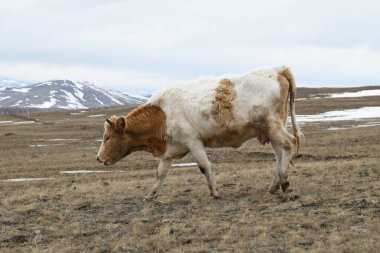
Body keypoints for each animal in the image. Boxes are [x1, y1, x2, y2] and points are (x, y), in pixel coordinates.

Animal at [97, 66, 302, 201]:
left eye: (107, 137)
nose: (98, 158)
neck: (162, 114)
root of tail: (278, 70)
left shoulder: (192, 141)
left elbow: (204, 166)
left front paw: (215, 193)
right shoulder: (170, 150)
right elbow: (160, 173)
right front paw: (150, 195)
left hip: (271, 125)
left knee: (288, 144)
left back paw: (283, 180)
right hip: (269, 130)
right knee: (279, 154)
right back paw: (274, 186)